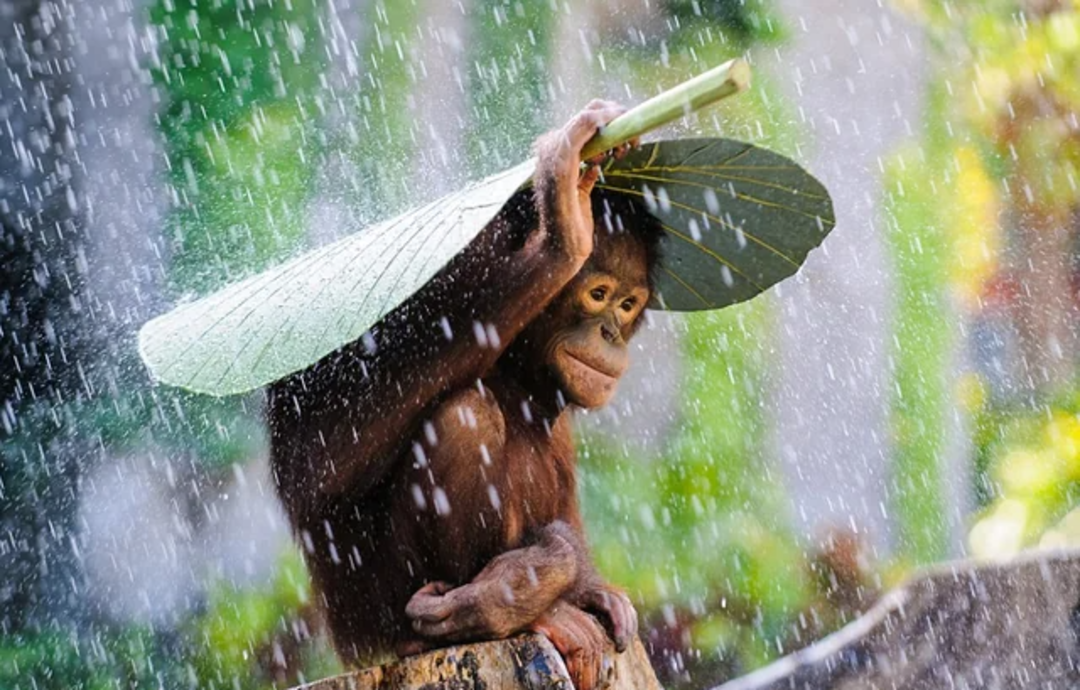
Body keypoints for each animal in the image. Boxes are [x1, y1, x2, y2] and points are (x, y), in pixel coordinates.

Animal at [268, 100, 664, 690]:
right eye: (597, 293)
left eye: (628, 303)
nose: (611, 333)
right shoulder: (443, 268)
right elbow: (312, 460)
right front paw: (562, 226)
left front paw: (583, 585)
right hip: (384, 616)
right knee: (464, 414)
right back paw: (505, 613)